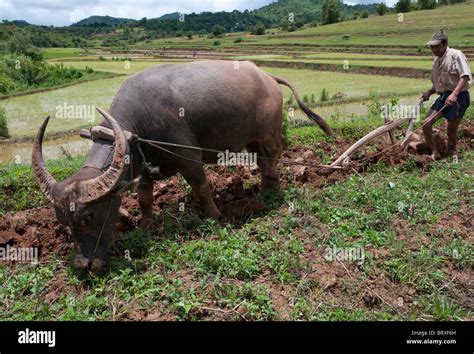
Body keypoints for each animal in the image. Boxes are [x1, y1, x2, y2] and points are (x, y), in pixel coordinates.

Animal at [32, 60, 330, 272]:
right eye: (63, 222)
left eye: (88, 216)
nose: (85, 266)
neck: (138, 125)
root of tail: (266, 76)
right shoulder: (143, 166)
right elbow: (144, 199)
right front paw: (146, 226)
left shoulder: (189, 158)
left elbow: (201, 187)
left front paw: (214, 215)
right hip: (253, 140)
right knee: (264, 162)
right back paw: (264, 192)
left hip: (268, 134)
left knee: (272, 160)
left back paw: (272, 195)